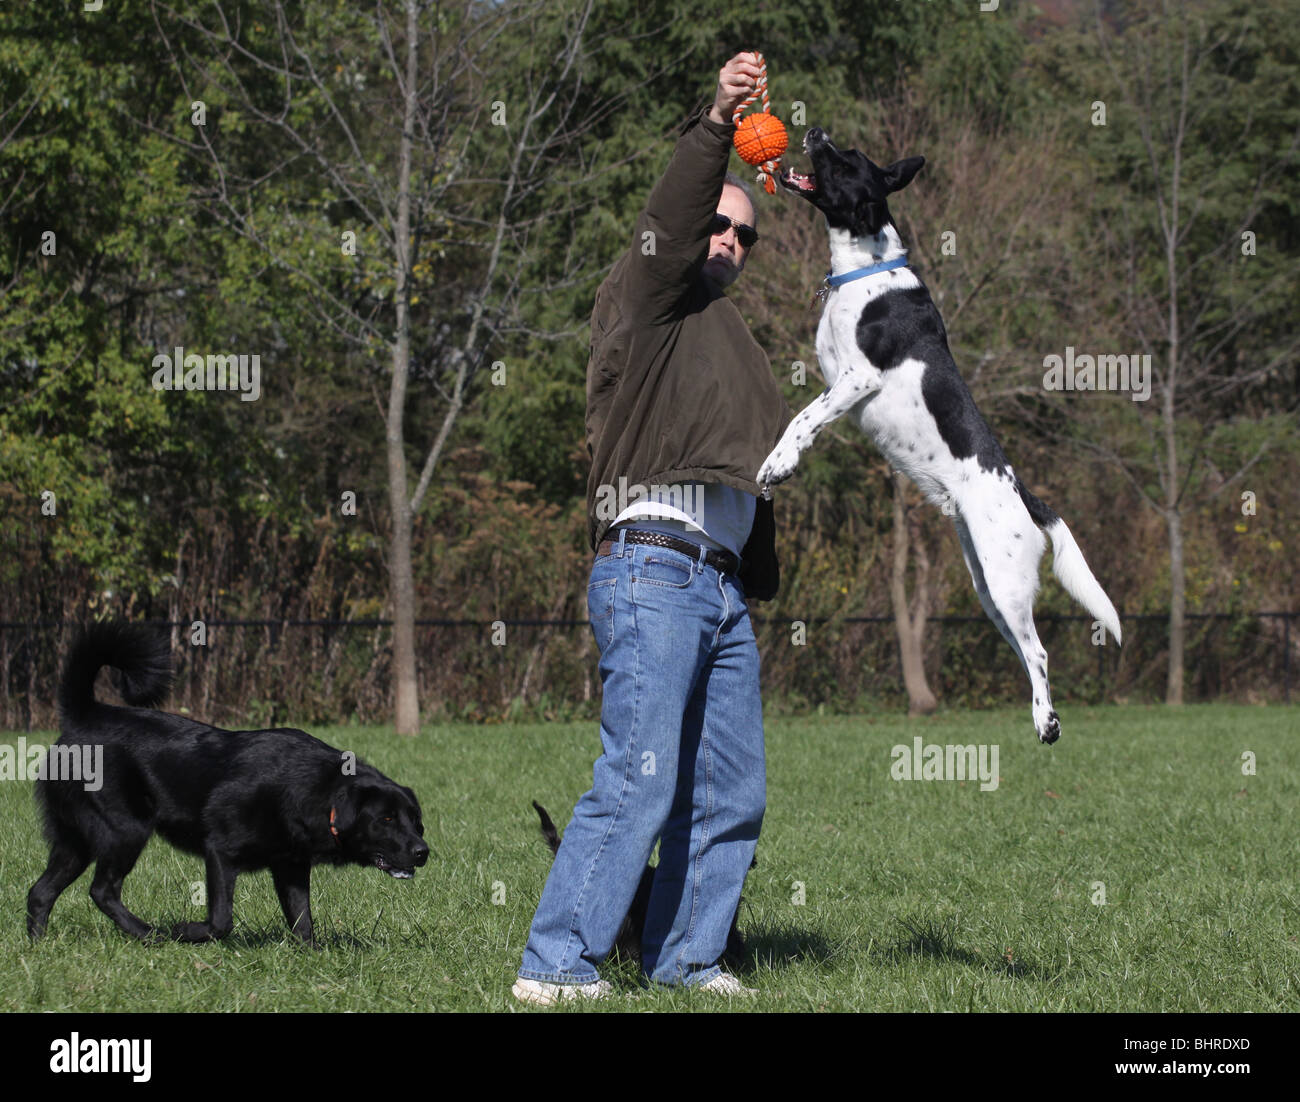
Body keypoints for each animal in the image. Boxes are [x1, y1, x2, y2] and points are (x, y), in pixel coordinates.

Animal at [26, 618, 426, 946]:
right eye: (386, 819)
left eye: (416, 821)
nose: (424, 851)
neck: (317, 792)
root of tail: (85, 714)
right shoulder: (219, 851)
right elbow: (221, 921)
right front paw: (187, 931)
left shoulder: (291, 866)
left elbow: (303, 920)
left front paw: (310, 954)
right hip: (125, 830)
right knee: (102, 890)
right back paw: (150, 934)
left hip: (75, 841)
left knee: (41, 892)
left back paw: (39, 948)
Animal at [759, 131, 1118, 748]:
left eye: (845, 160)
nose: (814, 132)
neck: (865, 271)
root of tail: (1025, 494)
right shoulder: (835, 379)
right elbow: (805, 413)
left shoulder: (856, 379)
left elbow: (802, 421)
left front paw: (779, 463)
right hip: (987, 588)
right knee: (1024, 651)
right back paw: (1038, 715)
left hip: (1006, 581)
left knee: (1040, 652)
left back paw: (1047, 722)